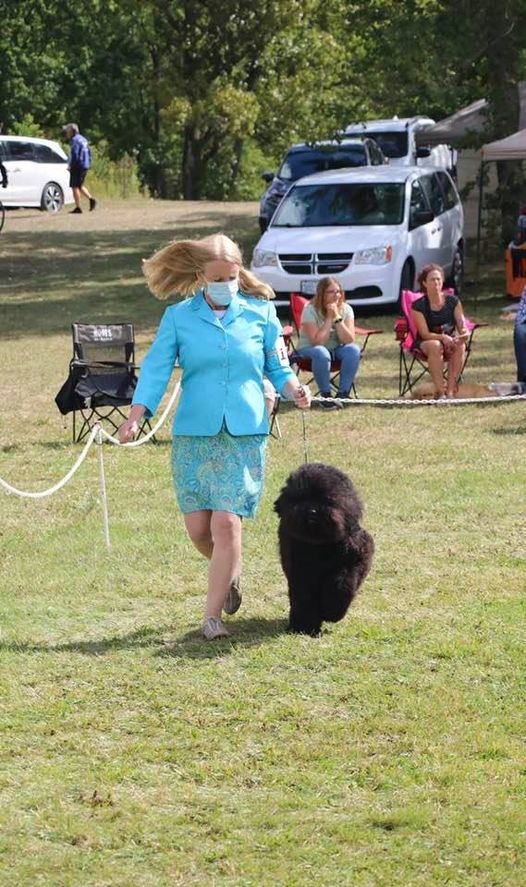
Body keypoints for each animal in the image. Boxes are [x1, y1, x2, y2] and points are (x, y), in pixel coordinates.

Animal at [273, 463, 374, 636]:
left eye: (327, 498)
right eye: (300, 498)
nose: (312, 511)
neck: (319, 545)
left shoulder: (355, 559)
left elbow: (340, 586)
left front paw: (332, 613)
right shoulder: (300, 572)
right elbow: (304, 599)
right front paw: (305, 627)